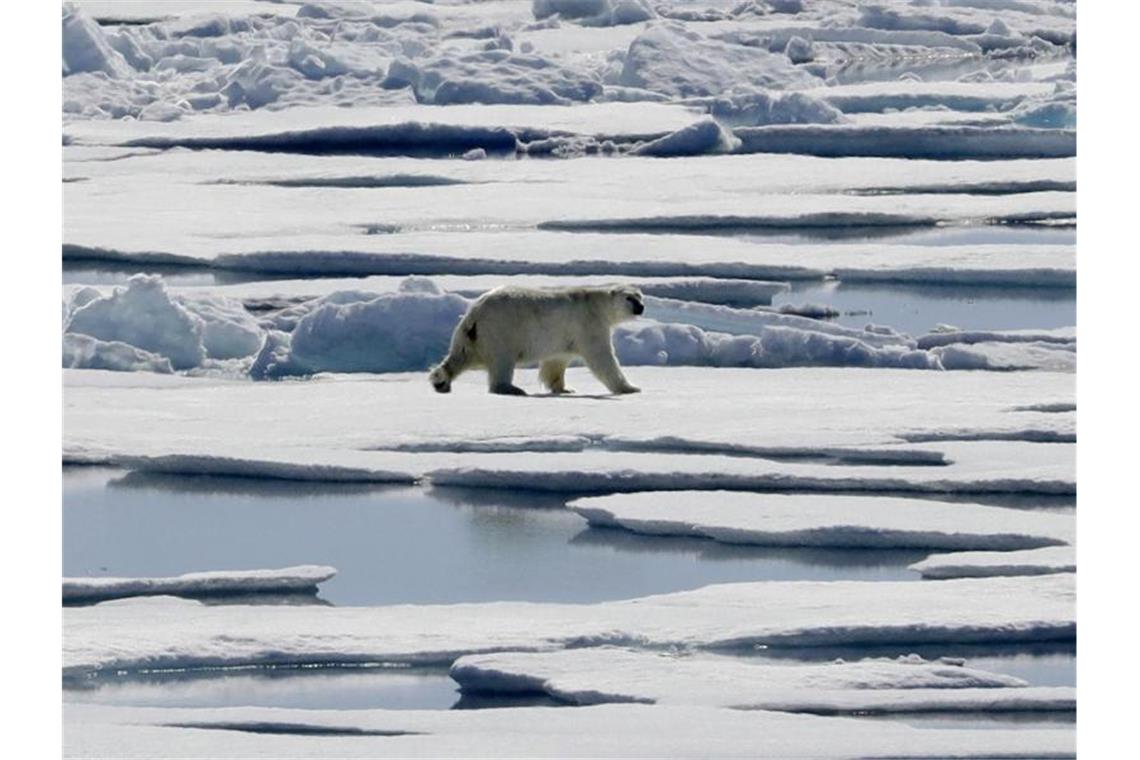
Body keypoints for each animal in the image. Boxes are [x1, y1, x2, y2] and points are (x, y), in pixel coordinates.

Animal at [428, 282, 647, 396]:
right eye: (629, 298)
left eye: (640, 296)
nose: (641, 307)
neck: (596, 304)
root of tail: (475, 313)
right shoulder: (589, 324)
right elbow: (602, 358)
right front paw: (630, 388)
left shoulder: (564, 337)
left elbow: (556, 362)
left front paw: (564, 389)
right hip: (501, 330)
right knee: (502, 361)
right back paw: (512, 388)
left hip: (470, 335)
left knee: (460, 356)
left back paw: (441, 381)